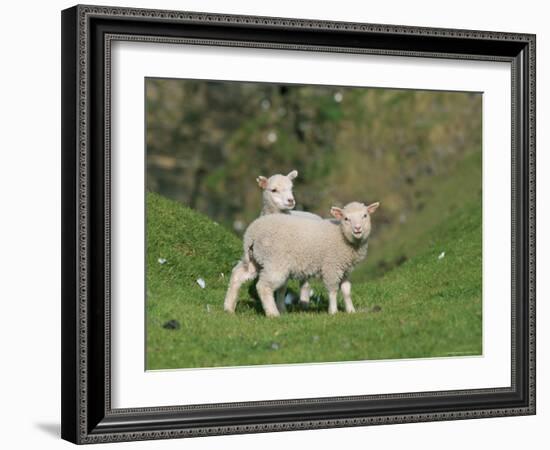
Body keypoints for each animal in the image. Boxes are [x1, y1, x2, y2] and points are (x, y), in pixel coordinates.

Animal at [224, 200, 380, 316]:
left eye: (365, 215)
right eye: (346, 218)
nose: (357, 229)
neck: (341, 235)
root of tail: (251, 234)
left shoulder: (345, 269)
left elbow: (347, 290)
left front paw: (351, 311)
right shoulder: (331, 266)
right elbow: (333, 290)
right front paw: (333, 312)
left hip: (255, 259)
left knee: (238, 275)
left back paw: (229, 307)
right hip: (275, 262)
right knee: (263, 286)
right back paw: (273, 313)